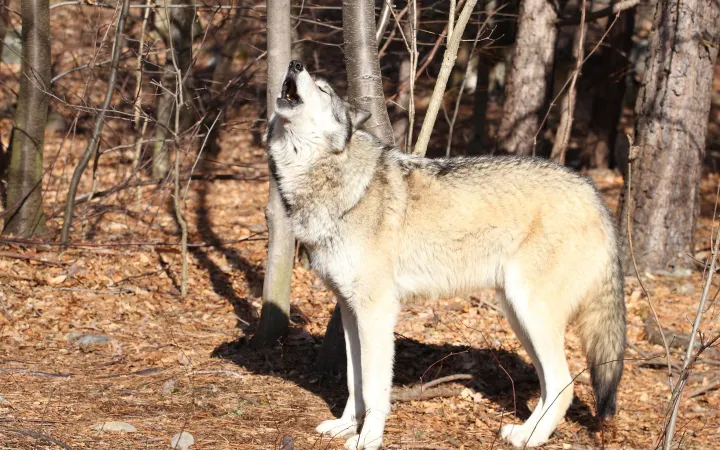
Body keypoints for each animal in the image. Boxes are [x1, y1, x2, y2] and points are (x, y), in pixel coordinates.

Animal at [265, 60, 626, 449]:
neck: (335, 179)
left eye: (324, 89)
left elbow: (374, 387)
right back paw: (522, 432)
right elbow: (354, 380)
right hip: (519, 316)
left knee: (565, 384)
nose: (295, 64)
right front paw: (346, 424)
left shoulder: (377, 311)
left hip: (532, 313)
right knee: (549, 385)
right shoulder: (349, 309)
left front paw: (368, 438)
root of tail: (593, 194)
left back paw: (530, 439)